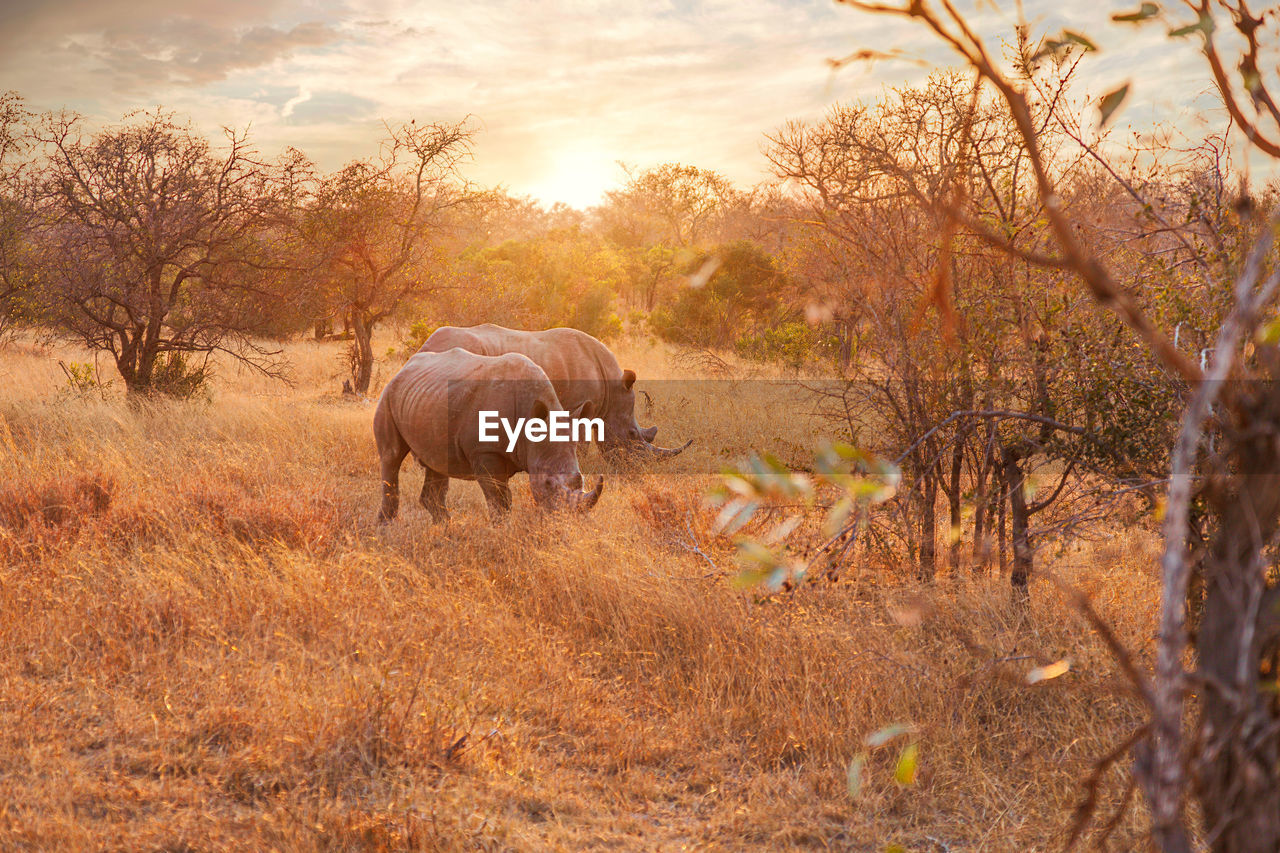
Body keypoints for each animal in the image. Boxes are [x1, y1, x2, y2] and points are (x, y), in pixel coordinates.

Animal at [373, 343, 604, 517]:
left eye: (581, 479)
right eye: (547, 483)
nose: (565, 518)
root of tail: (404, 368)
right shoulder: (485, 452)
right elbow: (499, 501)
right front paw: (502, 533)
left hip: (426, 397)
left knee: (436, 462)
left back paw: (447, 532)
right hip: (388, 395)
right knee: (391, 456)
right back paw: (386, 530)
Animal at [419, 324, 691, 458]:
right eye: (633, 435)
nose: (635, 470)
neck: (612, 390)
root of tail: (425, 346)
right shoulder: (582, 405)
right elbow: (581, 442)